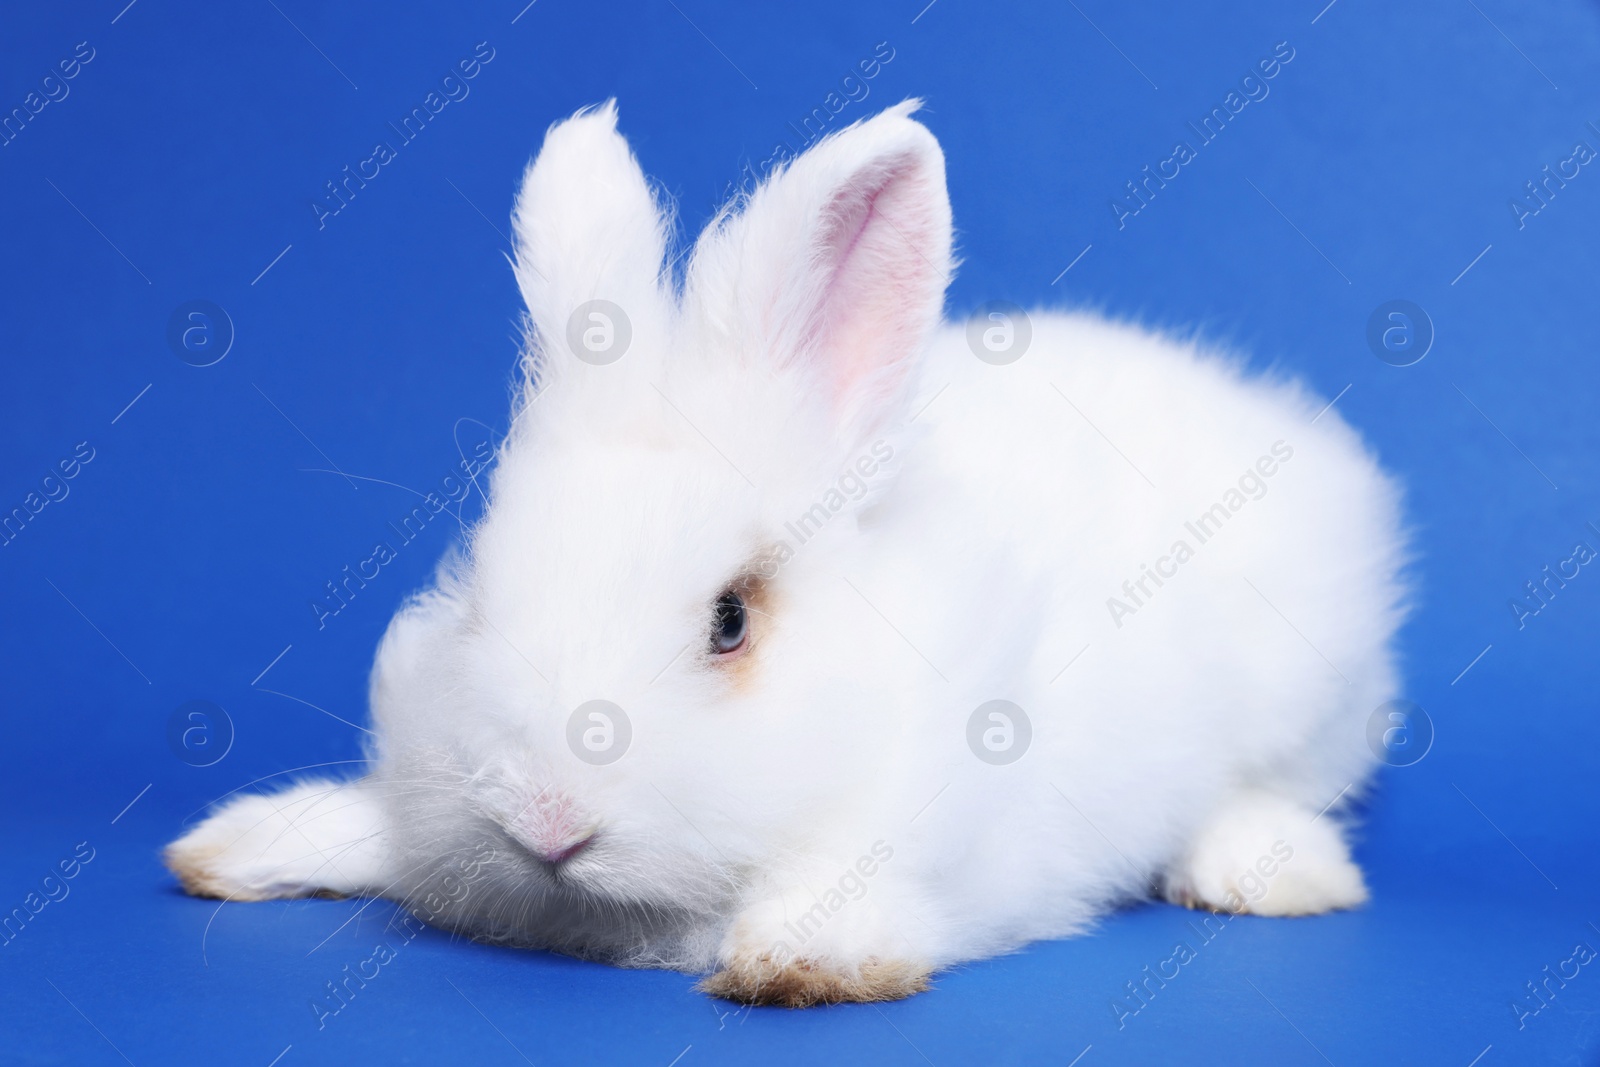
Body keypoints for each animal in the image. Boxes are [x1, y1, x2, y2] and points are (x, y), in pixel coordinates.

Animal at [168, 99, 1408, 1011]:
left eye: (732, 619)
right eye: (477, 593)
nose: (547, 820)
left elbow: (862, 893)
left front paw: (798, 963)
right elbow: (376, 824)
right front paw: (233, 849)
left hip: (1305, 693)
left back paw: (1267, 873)